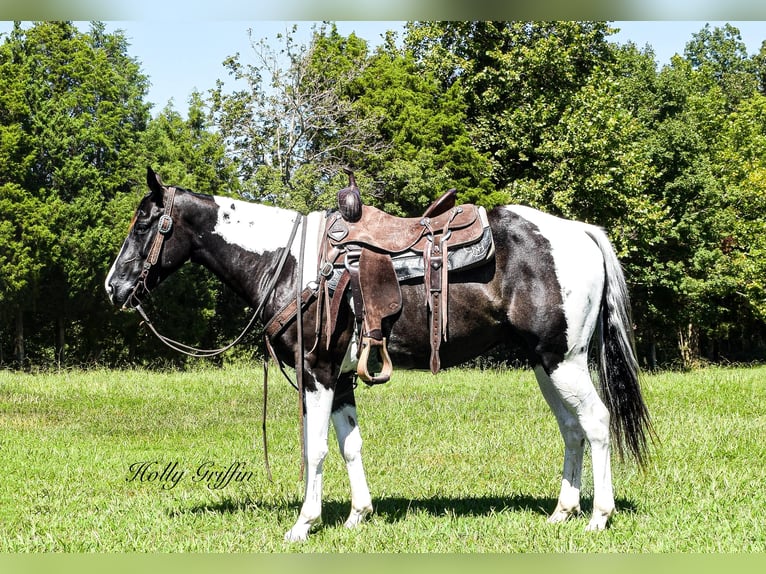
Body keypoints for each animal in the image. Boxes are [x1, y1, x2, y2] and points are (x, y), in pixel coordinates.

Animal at [103, 168, 656, 544]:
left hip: (565, 361)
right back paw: (562, 511)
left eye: (145, 224)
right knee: (572, 429)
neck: (290, 264)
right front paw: (357, 515)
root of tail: (581, 232)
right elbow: (350, 444)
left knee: (597, 422)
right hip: (546, 363)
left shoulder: (318, 372)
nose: (113, 287)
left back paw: (598, 517)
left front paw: (304, 524)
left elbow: (316, 448)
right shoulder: (343, 378)